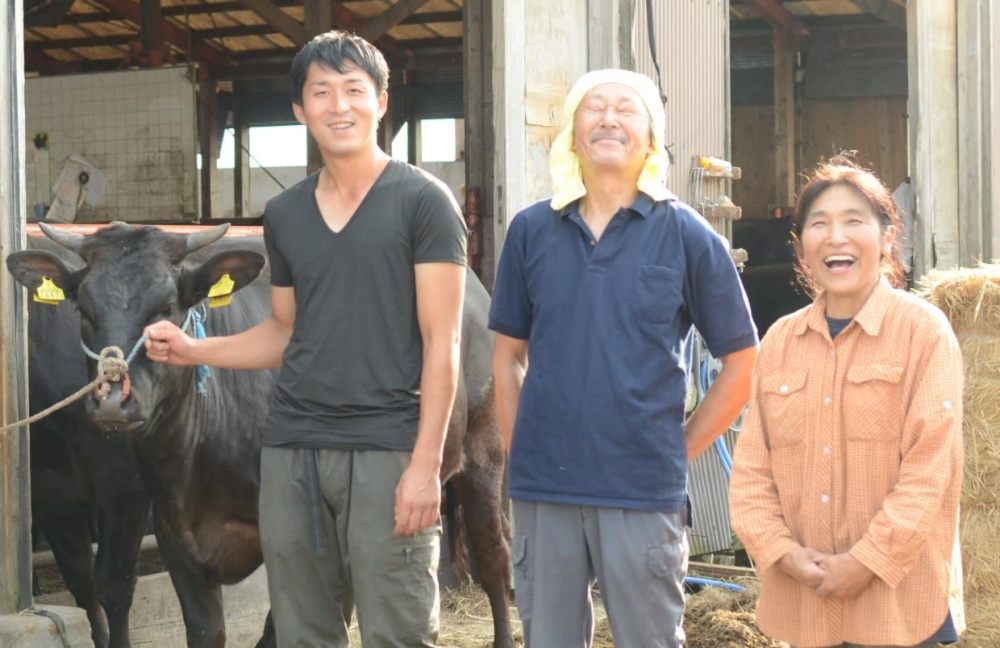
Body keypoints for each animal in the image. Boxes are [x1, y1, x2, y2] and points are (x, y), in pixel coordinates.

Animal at [3, 223, 512, 648]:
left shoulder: (124, 494)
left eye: (165, 309)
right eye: (83, 310)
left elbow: (116, 587)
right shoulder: (138, 524)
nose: (112, 401)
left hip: (483, 455)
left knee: (494, 556)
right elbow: (104, 595)